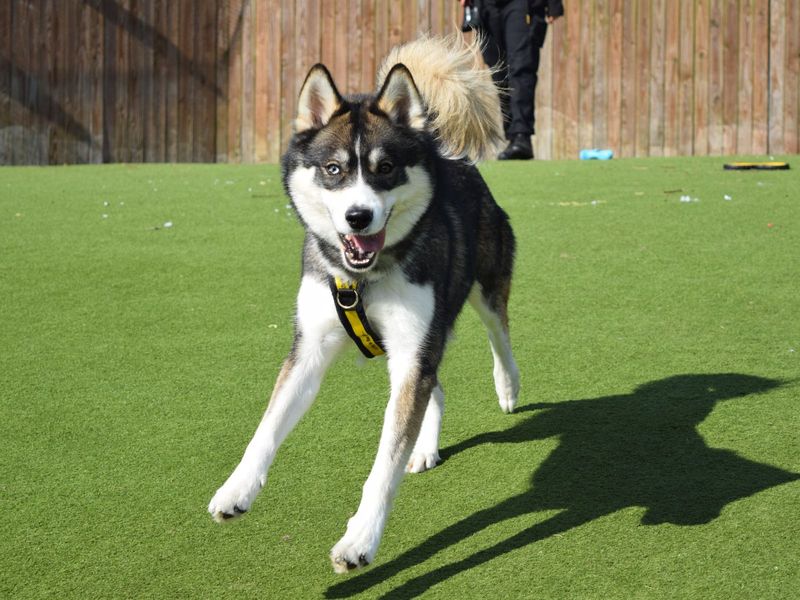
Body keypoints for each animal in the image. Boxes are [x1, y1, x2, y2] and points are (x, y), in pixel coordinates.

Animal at [208, 35, 520, 576]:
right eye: (333, 169)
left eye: (386, 169)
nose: (359, 216)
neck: (362, 279)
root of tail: (448, 154)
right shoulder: (310, 351)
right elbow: (265, 429)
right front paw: (237, 489)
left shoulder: (413, 351)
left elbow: (383, 466)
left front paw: (360, 539)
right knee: (435, 386)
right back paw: (426, 448)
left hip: (483, 285)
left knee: (498, 333)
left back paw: (507, 385)